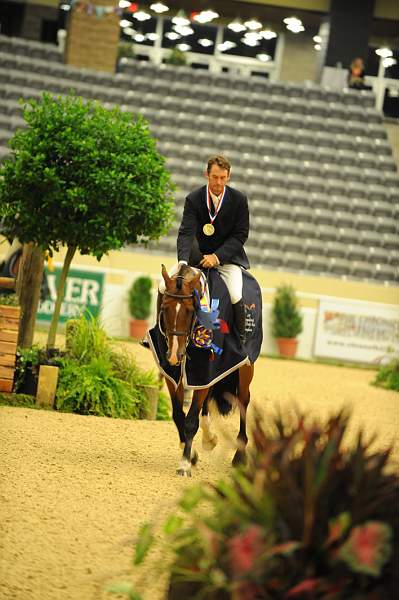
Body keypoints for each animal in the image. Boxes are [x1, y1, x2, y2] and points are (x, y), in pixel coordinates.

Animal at [158, 264, 255, 476]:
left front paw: (185, 463)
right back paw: (209, 438)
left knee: (243, 401)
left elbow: (190, 421)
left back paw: (240, 456)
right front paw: (192, 454)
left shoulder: (205, 367)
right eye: (164, 308)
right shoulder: (172, 374)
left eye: (189, 310)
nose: (174, 355)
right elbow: (178, 414)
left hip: (245, 369)